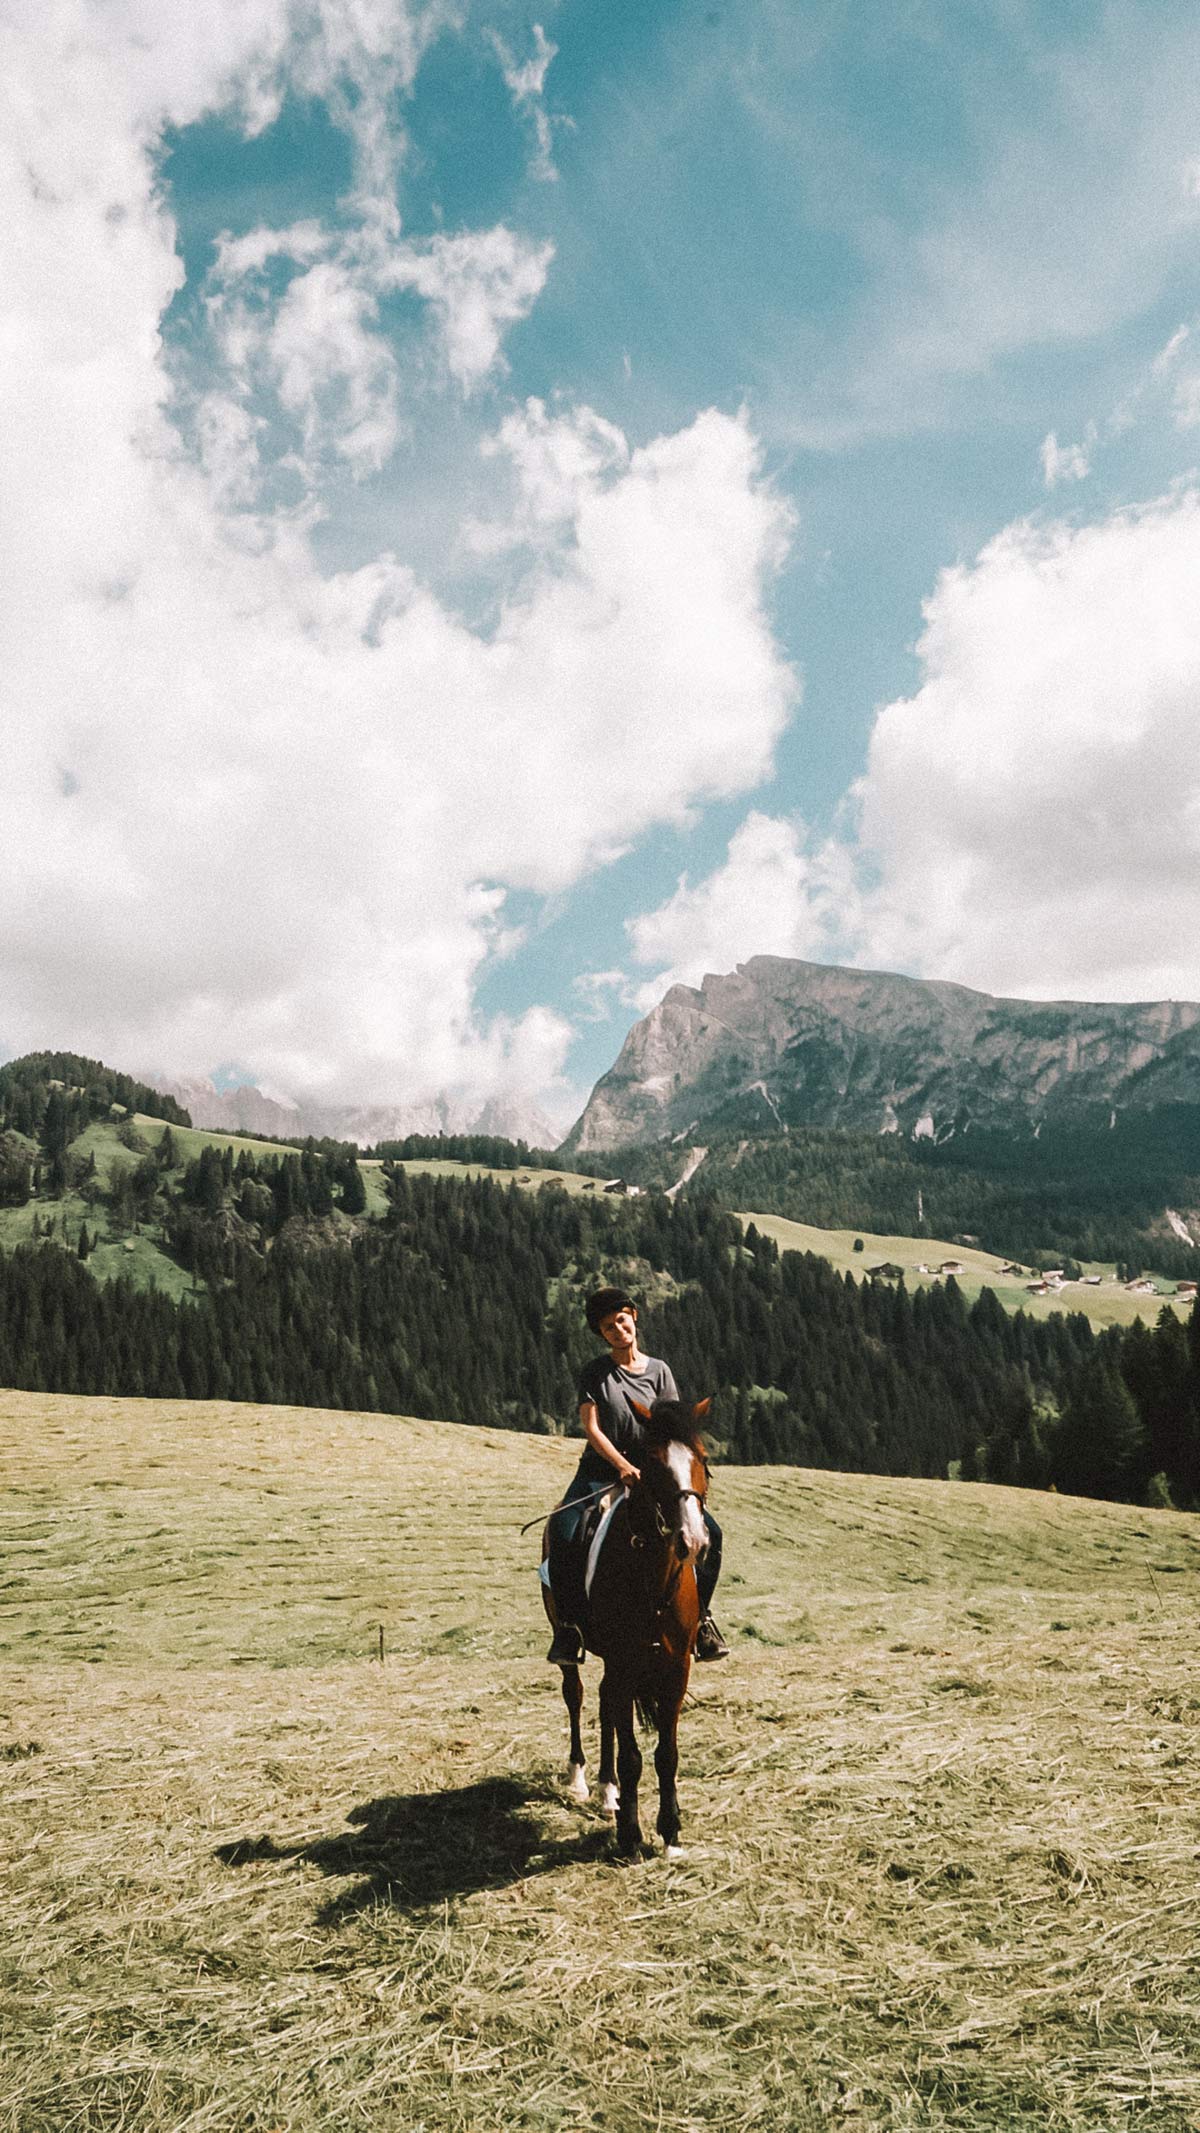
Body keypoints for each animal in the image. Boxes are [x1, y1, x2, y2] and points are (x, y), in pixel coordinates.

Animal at [545, 1390, 711, 1859]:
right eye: (652, 1464)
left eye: (703, 1459)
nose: (694, 1540)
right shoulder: (624, 1664)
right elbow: (633, 1756)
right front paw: (632, 1837)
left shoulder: (675, 1668)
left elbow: (667, 1754)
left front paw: (671, 1833)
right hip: (575, 1647)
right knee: (577, 1695)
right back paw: (583, 1780)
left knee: (604, 1703)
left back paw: (609, 1791)